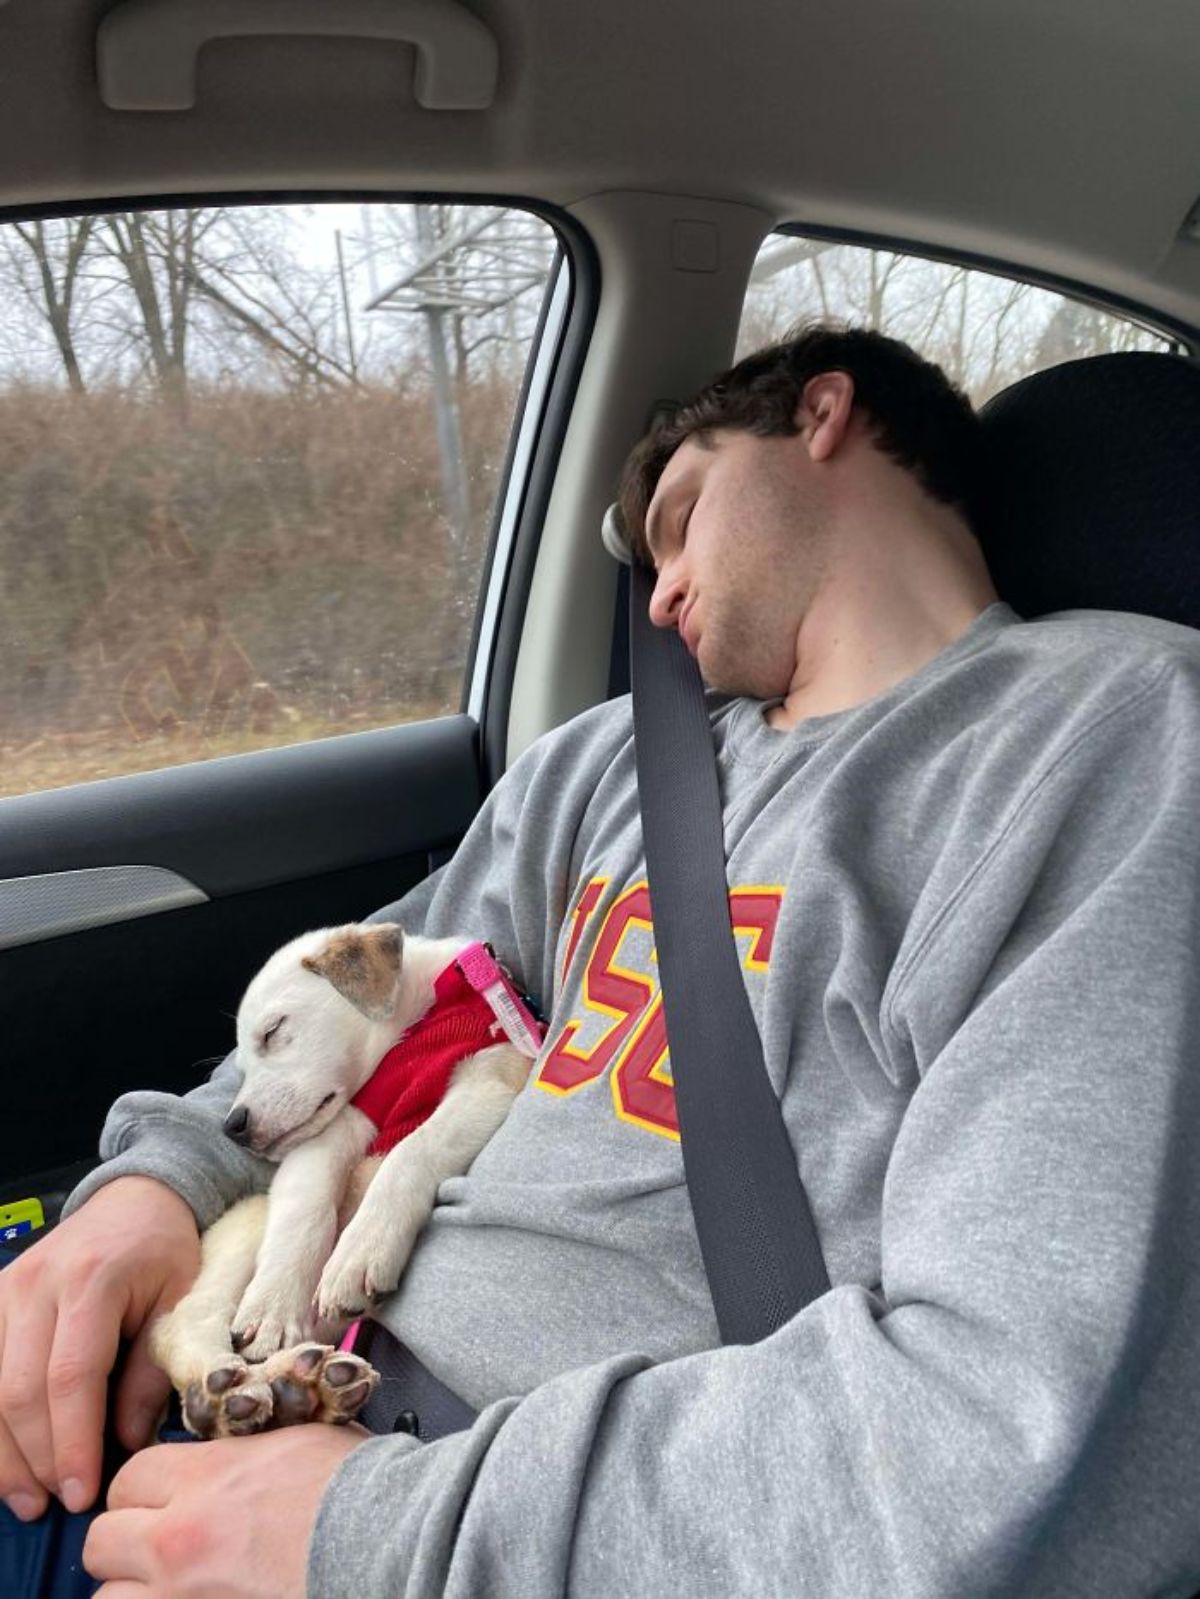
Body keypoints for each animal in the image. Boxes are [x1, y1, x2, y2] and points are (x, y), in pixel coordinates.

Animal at [152, 927, 537, 1439]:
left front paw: (361, 1251)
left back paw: (302, 1385)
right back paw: (226, 1393)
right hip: (246, 1230)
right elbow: (305, 1213)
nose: (233, 1126)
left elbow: (410, 1153)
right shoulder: (333, 1131)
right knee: (183, 1322)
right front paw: (275, 1303)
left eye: (273, 1031)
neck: (414, 1029)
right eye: (241, 1069)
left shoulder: (486, 1083)